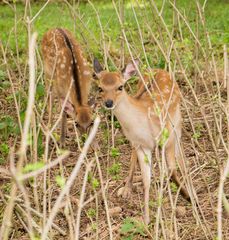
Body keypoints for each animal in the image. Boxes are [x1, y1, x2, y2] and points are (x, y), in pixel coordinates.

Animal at [94, 59, 191, 224]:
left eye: (120, 86)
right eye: (100, 88)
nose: (108, 103)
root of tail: (159, 69)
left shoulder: (167, 137)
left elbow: (171, 170)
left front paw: (186, 196)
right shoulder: (141, 145)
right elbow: (147, 180)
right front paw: (146, 219)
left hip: (176, 119)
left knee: (179, 151)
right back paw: (127, 188)